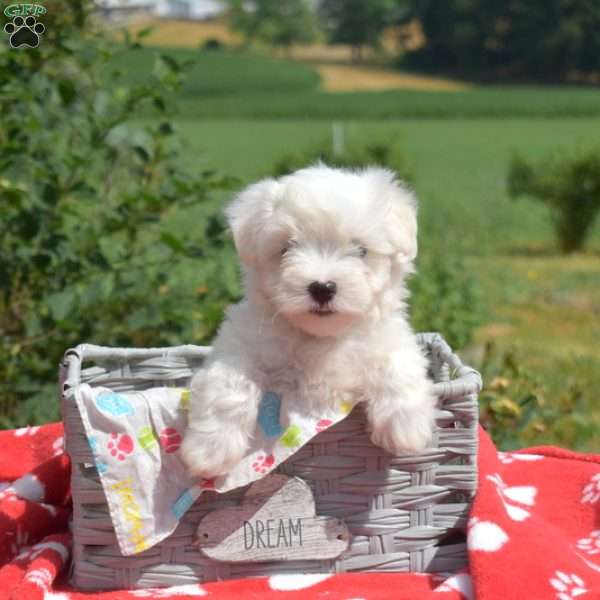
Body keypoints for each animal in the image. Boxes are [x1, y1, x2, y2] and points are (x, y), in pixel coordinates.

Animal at [180, 163, 434, 478]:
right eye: (286, 247)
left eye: (361, 250)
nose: (322, 287)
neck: (321, 337)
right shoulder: (239, 344)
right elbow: (228, 385)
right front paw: (209, 451)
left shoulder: (390, 337)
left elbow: (399, 365)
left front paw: (406, 427)